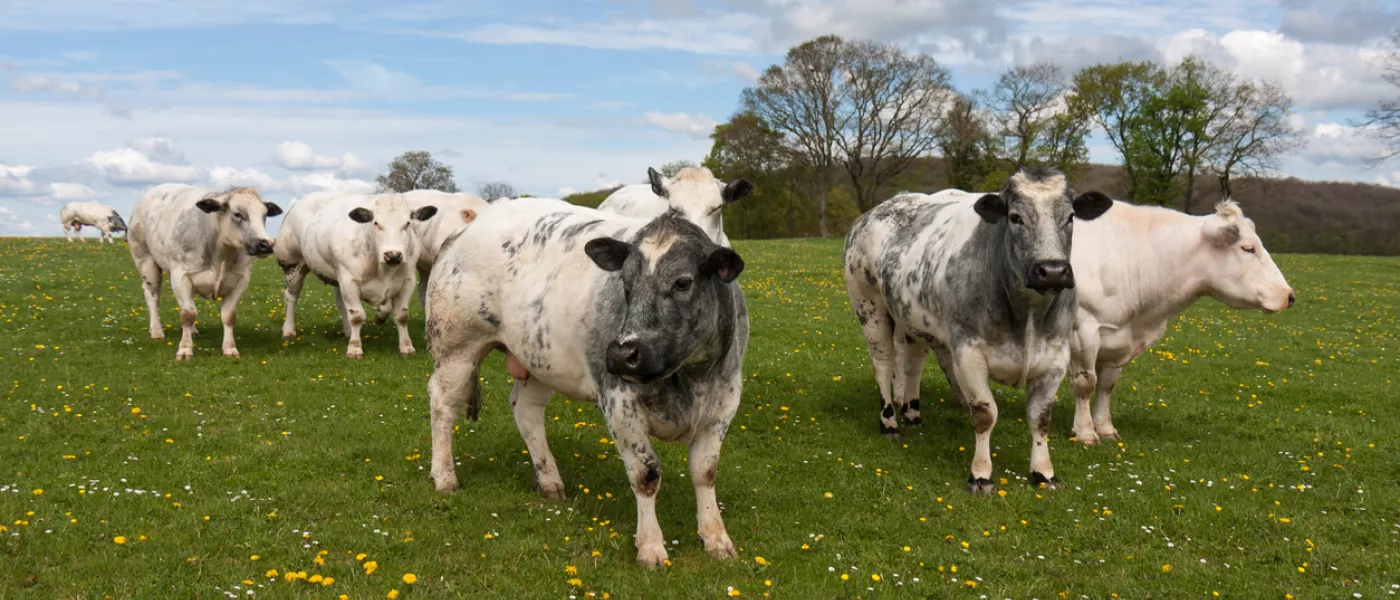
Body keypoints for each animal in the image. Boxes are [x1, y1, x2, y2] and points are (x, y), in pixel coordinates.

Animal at [127, 184, 282, 360]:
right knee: (152, 295)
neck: (220, 256)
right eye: (237, 214)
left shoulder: (240, 281)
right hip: (145, 260)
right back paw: (156, 330)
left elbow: (228, 316)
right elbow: (187, 314)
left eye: (264, 215)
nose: (267, 244)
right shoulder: (180, 277)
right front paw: (185, 349)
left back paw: (193, 330)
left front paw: (230, 348)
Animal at [276, 191, 438, 358]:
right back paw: (289, 330)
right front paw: (354, 347)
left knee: (340, 301)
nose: (393, 255)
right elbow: (357, 316)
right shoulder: (349, 280)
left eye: (407, 224)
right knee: (291, 297)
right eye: (376, 223)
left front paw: (406, 346)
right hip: (292, 264)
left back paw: (347, 330)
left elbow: (401, 316)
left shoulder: (408, 281)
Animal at [425, 198, 749, 569]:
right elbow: (646, 475)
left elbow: (704, 472)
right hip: (456, 349)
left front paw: (716, 537)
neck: (690, 378)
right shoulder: (619, 403)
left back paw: (549, 479)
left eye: (683, 282)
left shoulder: (724, 403)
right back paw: (444, 475)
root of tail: (472, 224)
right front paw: (651, 546)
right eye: (625, 282)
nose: (622, 353)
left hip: (539, 358)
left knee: (526, 412)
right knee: (442, 404)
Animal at [843, 166, 1112, 495]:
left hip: (912, 317)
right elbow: (985, 414)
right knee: (882, 365)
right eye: (1015, 217)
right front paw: (981, 475)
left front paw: (1044, 472)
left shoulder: (1055, 358)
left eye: (1071, 216)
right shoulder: (968, 354)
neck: (1028, 314)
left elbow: (1040, 418)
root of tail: (876, 211)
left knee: (912, 364)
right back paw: (889, 423)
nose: (1052, 271)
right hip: (870, 308)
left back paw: (912, 413)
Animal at [1067, 199, 1295, 444]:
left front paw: (1105, 428)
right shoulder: (1083, 328)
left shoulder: (1118, 341)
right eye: (1248, 248)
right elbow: (1085, 383)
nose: (1289, 296)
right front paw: (1085, 431)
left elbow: (1106, 385)